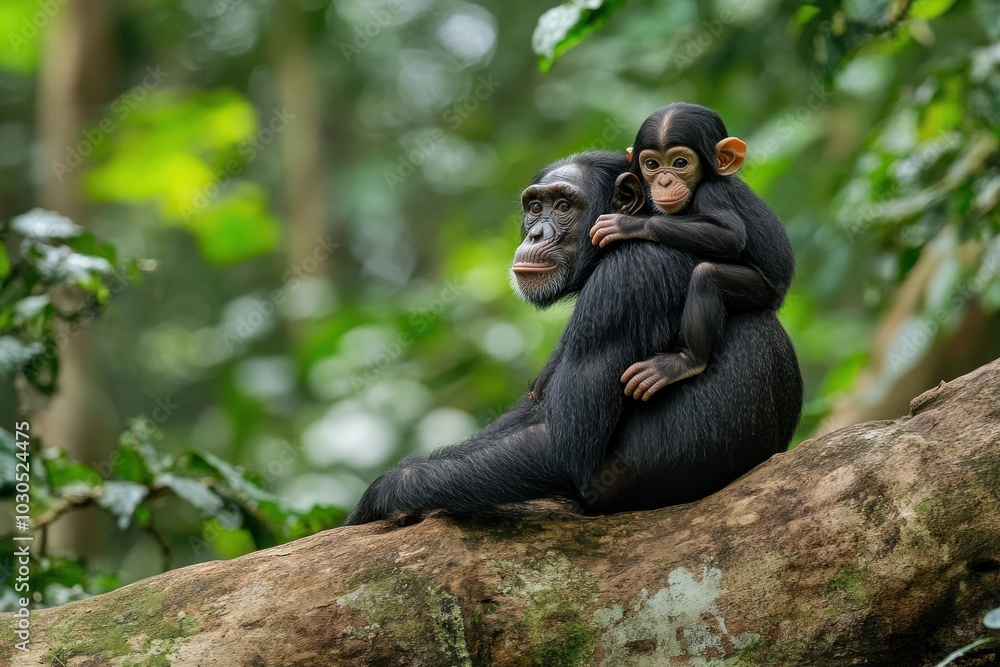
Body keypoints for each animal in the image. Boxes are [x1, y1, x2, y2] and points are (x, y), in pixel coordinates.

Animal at [348, 147, 800, 528]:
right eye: (535, 207)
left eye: (564, 206)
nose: (535, 235)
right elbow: (536, 403)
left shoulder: (626, 280)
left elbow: (562, 443)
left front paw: (384, 492)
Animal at [588, 102, 792, 400]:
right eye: (652, 164)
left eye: (680, 163)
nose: (663, 182)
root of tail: (780, 298)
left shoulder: (713, 192)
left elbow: (729, 236)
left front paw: (629, 224)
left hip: (761, 292)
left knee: (707, 276)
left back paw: (687, 362)